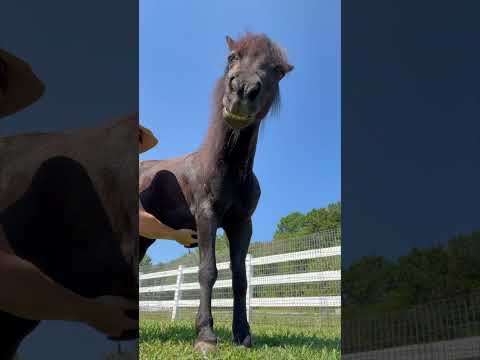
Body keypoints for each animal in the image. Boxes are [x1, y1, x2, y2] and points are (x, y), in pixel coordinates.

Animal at [139, 33, 292, 352]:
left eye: (278, 70)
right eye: (232, 57)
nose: (243, 90)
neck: (228, 171)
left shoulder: (241, 224)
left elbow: (240, 279)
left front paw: (242, 334)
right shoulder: (206, 217)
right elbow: (208, 271)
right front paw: (206, 335)